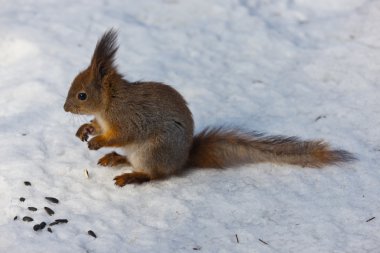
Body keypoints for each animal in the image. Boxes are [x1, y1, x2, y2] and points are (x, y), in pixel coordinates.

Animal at [63, 30, 356, 188]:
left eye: (82, 95)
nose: (65, 108)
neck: (109, 102)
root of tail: (183, 160)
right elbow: (97, 126)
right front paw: (86, 129)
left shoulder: (128, 118)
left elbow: (122, 134)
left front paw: (98, 141)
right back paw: (117, 159)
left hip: (153, 151)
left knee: (156, 175)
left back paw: (132, 175)